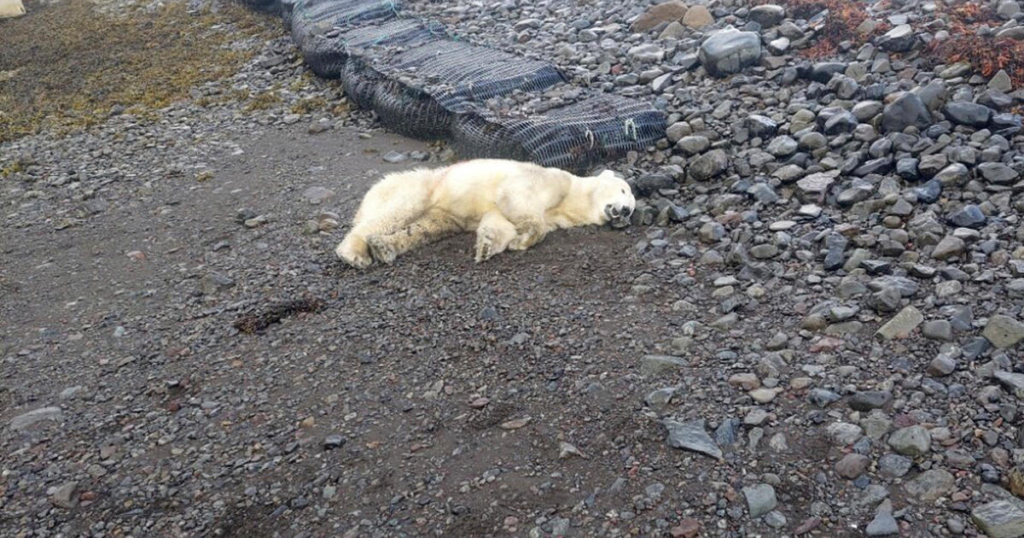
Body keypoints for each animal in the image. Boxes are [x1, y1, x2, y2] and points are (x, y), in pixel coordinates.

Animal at [335, 158, 635, 268]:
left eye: (632, 208)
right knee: (396, 212)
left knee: (425, 228)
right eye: (623, 190)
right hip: (422, 187)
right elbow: (517, 198)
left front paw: (489, 246)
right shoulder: (549, 180)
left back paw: (384, 247)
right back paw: (354, 253)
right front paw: (523, 239)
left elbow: (499, 221)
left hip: (441, 213)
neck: (572, 197)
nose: (624, 211)